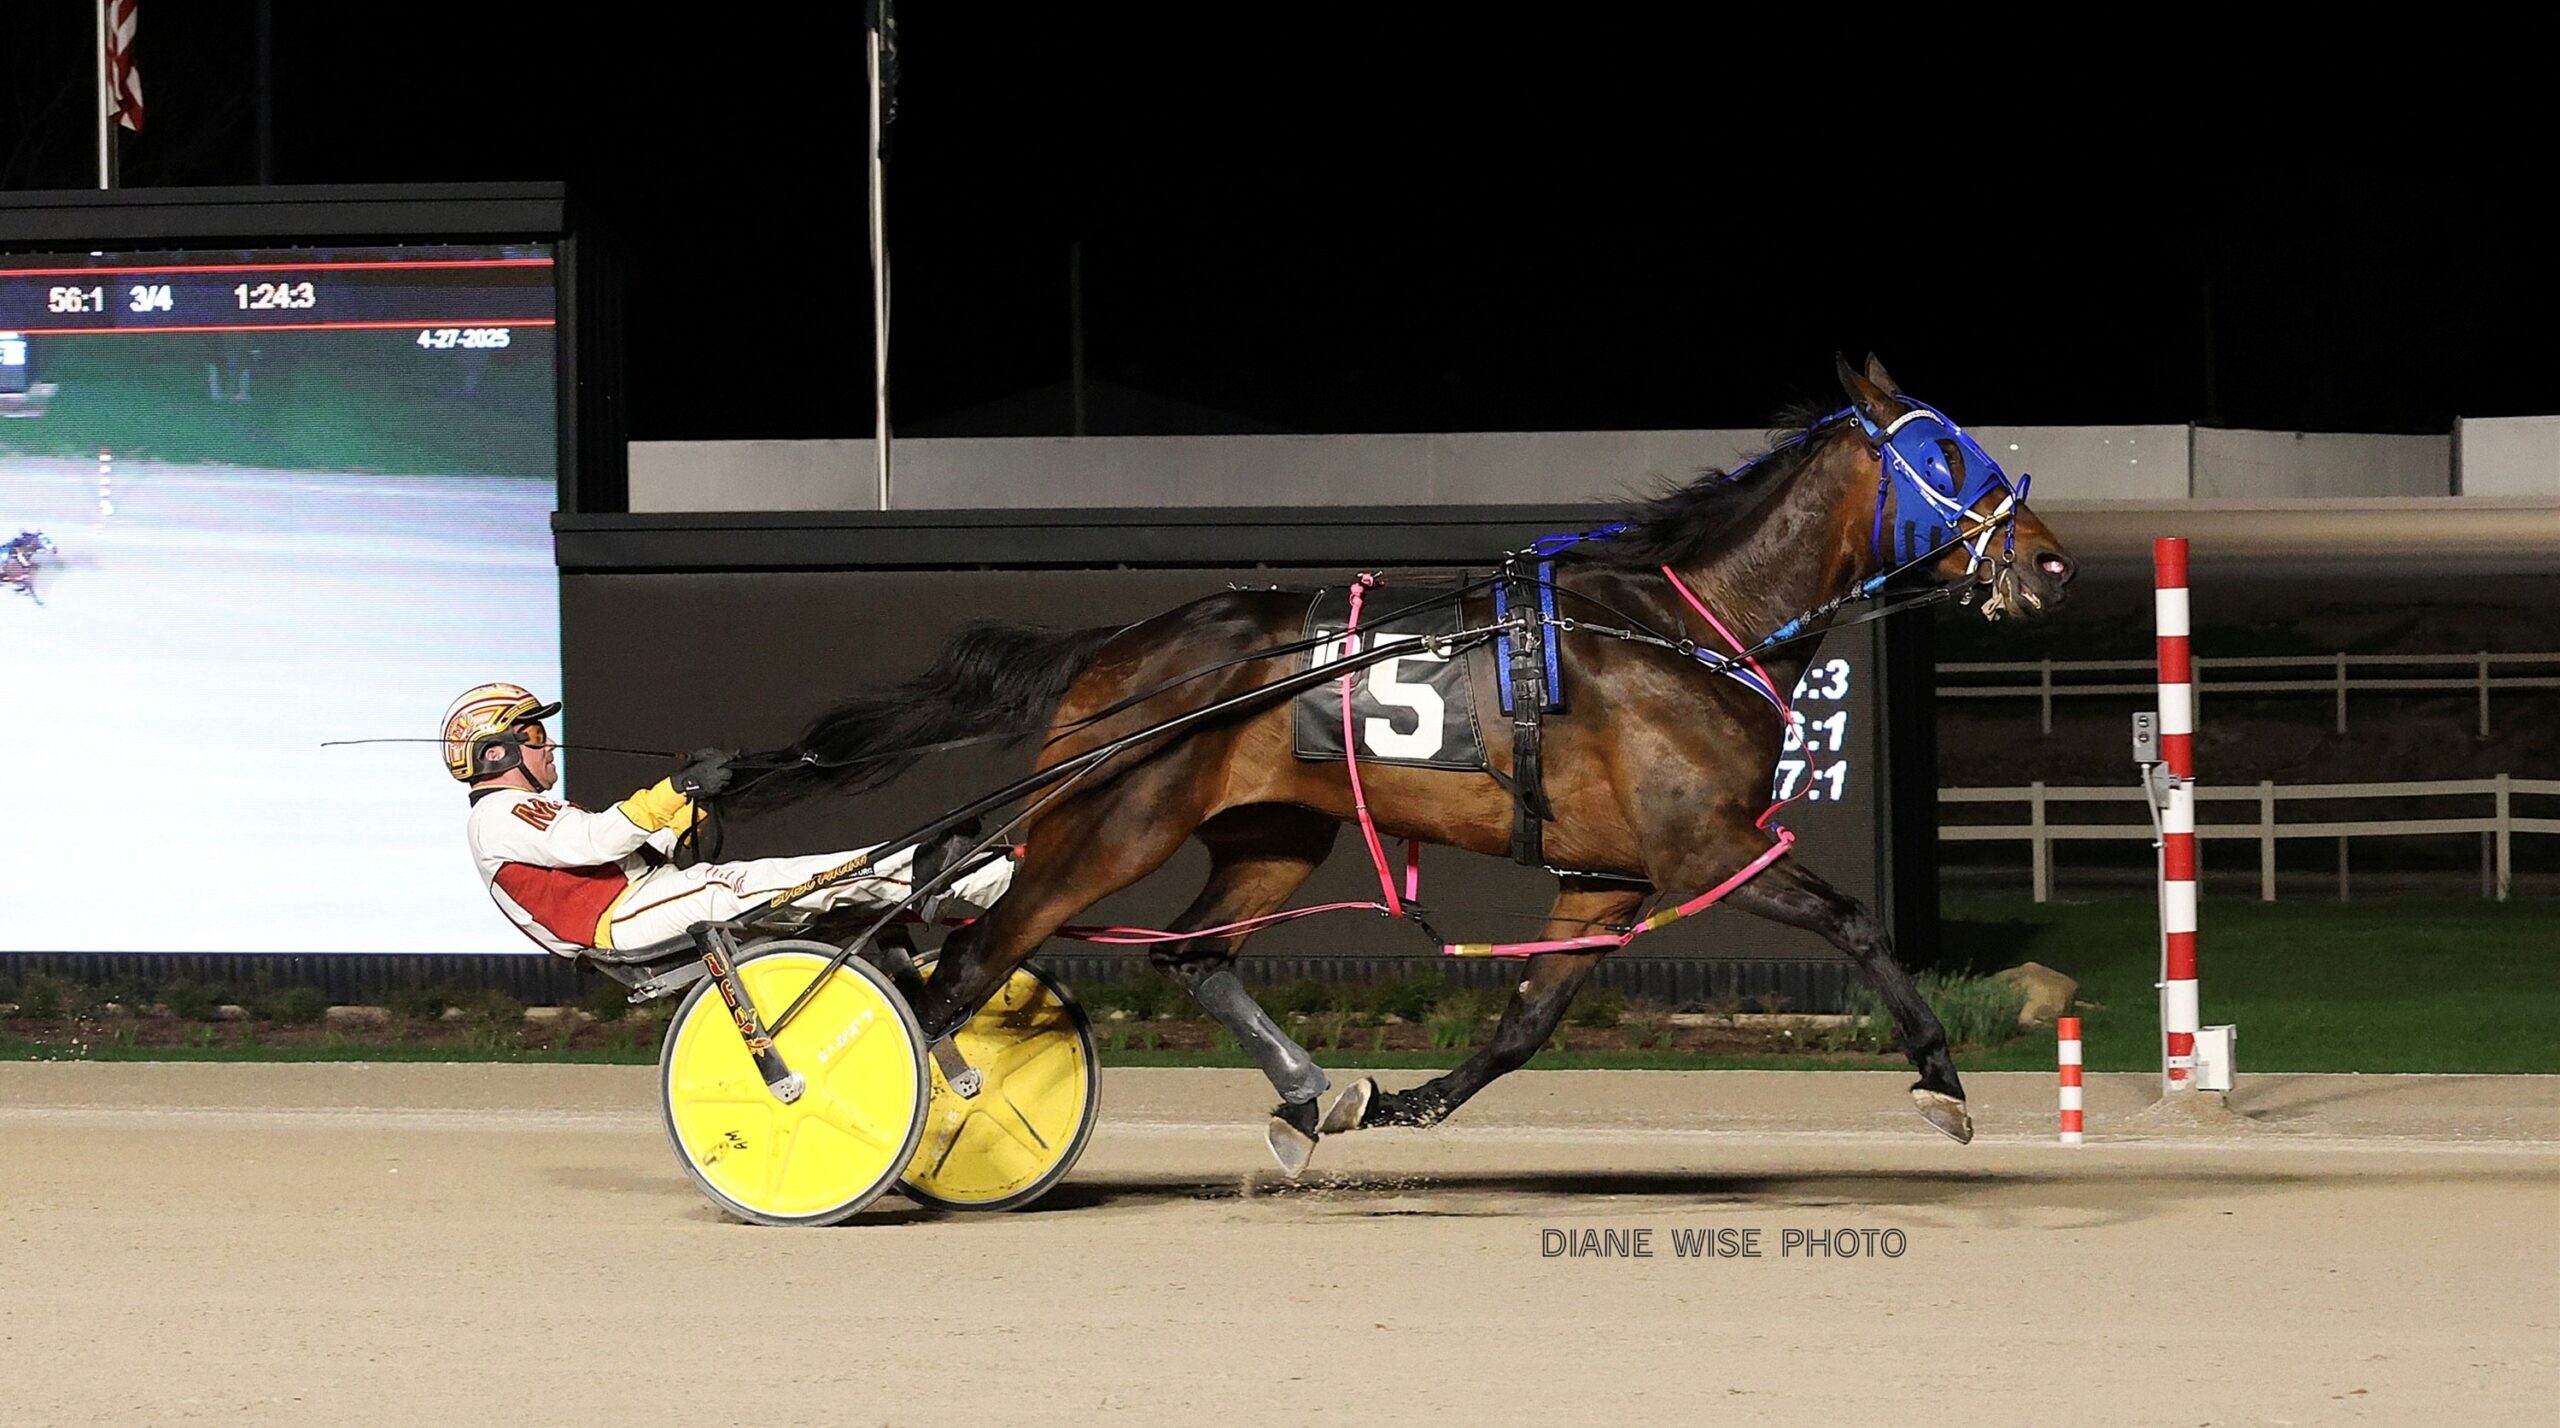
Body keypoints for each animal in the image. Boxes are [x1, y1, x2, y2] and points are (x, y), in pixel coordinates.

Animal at [745, 358, 2076, 1171]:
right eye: (1950, 457)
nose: (2049, 561)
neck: (1691, 624)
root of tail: (1118, 647)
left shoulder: (1608, 877)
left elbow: (1525, 1023)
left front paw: (1405, 1099)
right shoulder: (1708, 848)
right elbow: (1854, 923)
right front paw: (1942, 1082)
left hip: (1274, 834)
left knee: (1189, 954)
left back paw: (1310, 1094)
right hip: (1104, 826)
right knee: (960, 969)